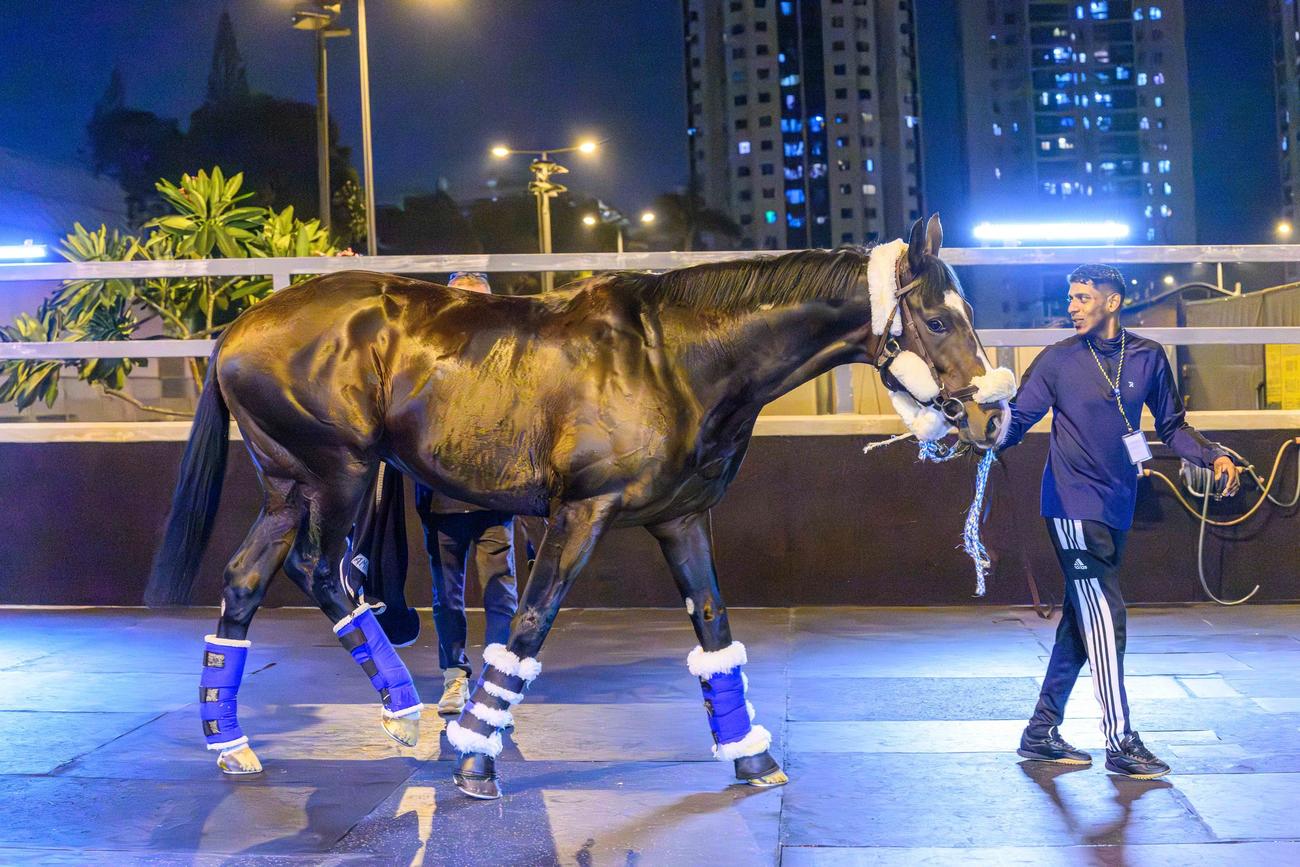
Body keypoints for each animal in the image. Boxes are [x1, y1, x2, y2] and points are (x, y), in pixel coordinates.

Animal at [146, 214, 1014, 799]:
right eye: (939, 317)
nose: (993, 414)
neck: (675, 358)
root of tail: (237, 328)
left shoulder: (682, 517)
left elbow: (714, 628)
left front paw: (750, 754)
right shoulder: (579, 514)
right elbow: (529, 625)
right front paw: (475, 756)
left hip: (289, 483)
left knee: (245, 579)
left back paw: (231, 739)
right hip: (339, 473)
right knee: (323, 571)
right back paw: (401, 711)